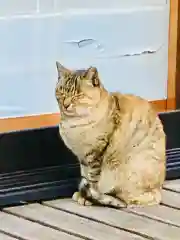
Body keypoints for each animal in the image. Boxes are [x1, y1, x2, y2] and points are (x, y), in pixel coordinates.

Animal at [54, 62, 166, 208]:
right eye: (61, 92)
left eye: (78, 95)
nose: (66, 104)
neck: (73, 124)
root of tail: (158, 190)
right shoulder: (83, 158)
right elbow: (85, 176)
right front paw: (82, 194)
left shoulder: (95, 155)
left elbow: (92, 181)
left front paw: (87, 197)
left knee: (126, 199)